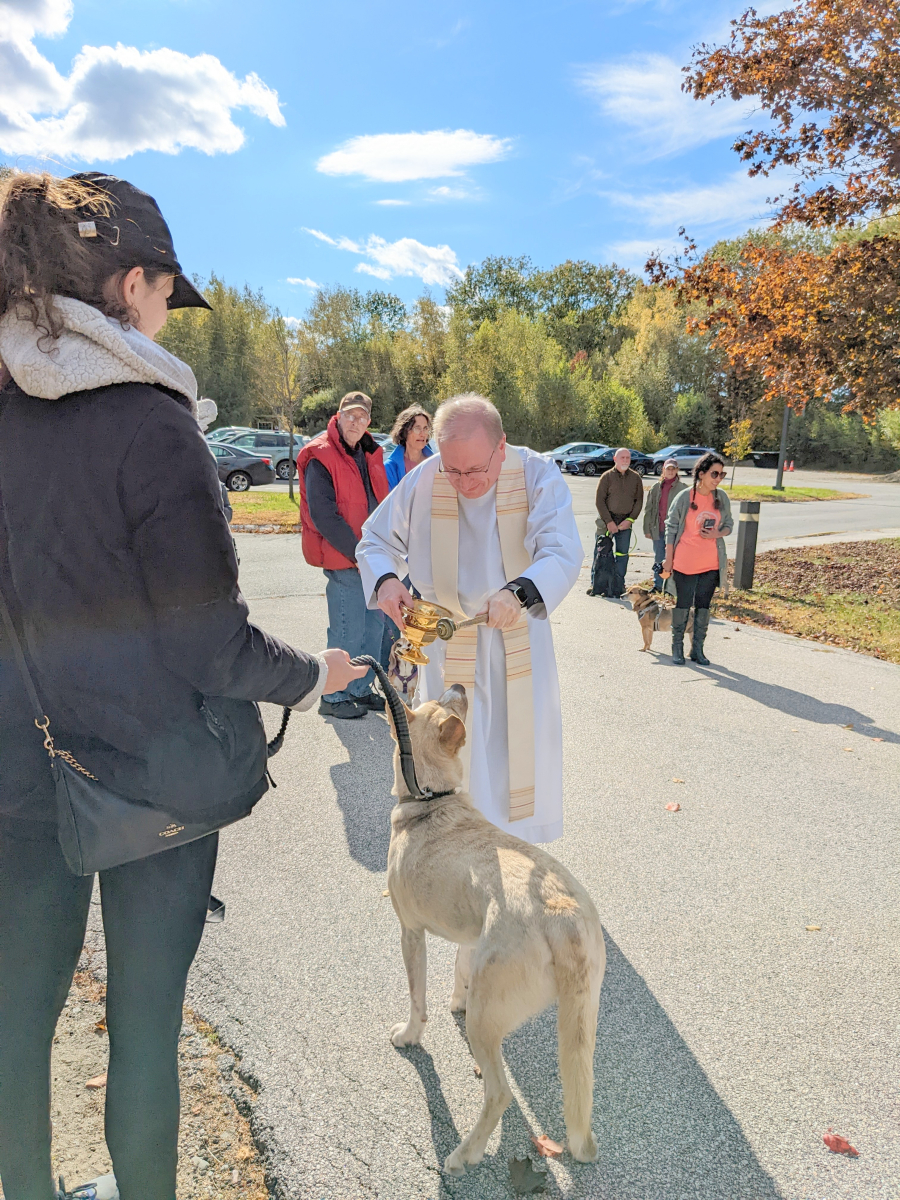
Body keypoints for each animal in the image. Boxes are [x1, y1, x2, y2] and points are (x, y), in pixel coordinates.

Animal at [386, 691, 607, 1176]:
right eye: (442, 700)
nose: (458, 686)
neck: (431, 800)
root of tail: (561, 911)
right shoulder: (471, 938)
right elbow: (459, 969)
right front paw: (456, 1000)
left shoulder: (410, 932)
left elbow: (416, 998)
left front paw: (410, 1035)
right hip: (582, 1019)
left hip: (487, 1025)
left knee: (500, 1094)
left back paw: (463, 1155)